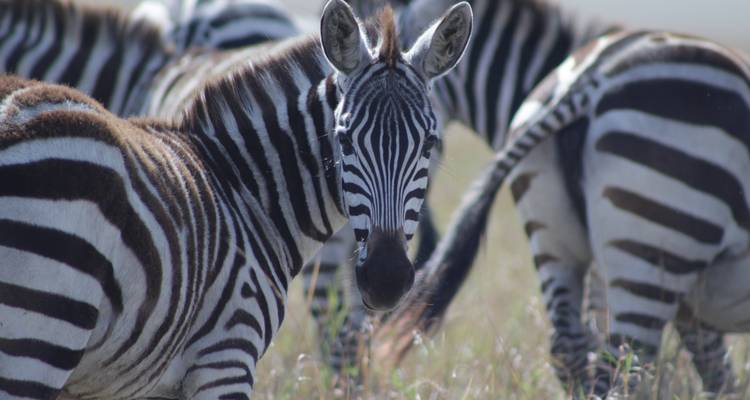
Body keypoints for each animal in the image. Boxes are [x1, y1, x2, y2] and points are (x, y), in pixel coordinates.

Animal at [0, 0, 474, 398]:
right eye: (343, 140)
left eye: (429, 143)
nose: (386, 278)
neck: (243, 188)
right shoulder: (227, 355)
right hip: (39, 336)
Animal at [388, 29, 750, 397]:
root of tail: (593, 76)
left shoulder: (685, 302)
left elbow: (715, 374)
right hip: (657, 249)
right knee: (621, 365)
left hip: (557, 238)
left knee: (572, 348)